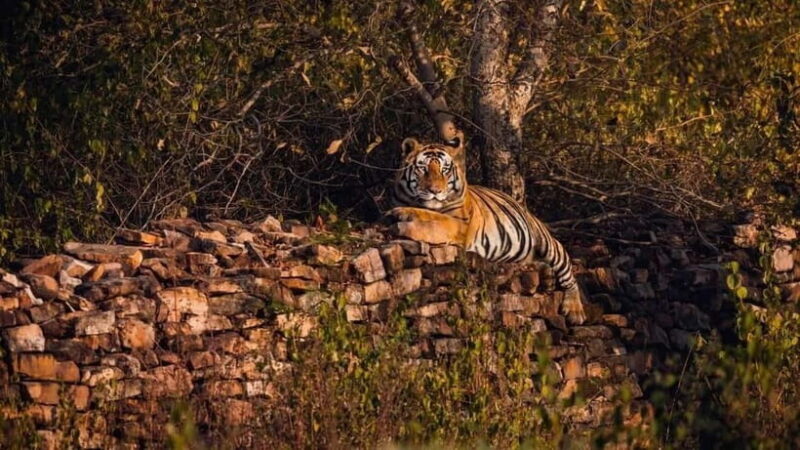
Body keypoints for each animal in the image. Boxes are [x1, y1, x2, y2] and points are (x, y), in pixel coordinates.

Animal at [388, 133, 587, 324]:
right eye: (423, 169)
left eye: (444, 170)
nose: (435, 191)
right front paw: (402, 213)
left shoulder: (460, 225)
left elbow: (435, 222)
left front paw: (404, 222)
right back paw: (547, 277)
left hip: (548, 244)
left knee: (568, 274)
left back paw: (575, 311)